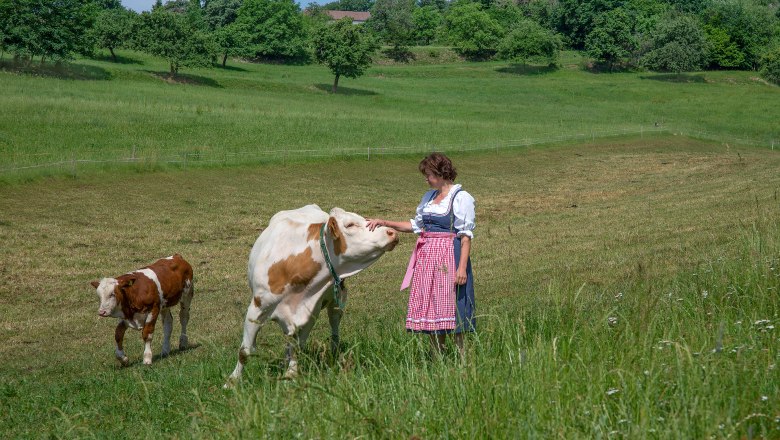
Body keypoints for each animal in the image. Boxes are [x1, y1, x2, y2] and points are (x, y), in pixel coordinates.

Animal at [224, 205, 396, 386]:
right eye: (350, 225)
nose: (392, 232)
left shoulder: (310, 311)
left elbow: (298, 346)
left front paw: (291, 374)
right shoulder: (257, 308)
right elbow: (245, 350)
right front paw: (232, 381)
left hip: (337, 300)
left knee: (333, 325)